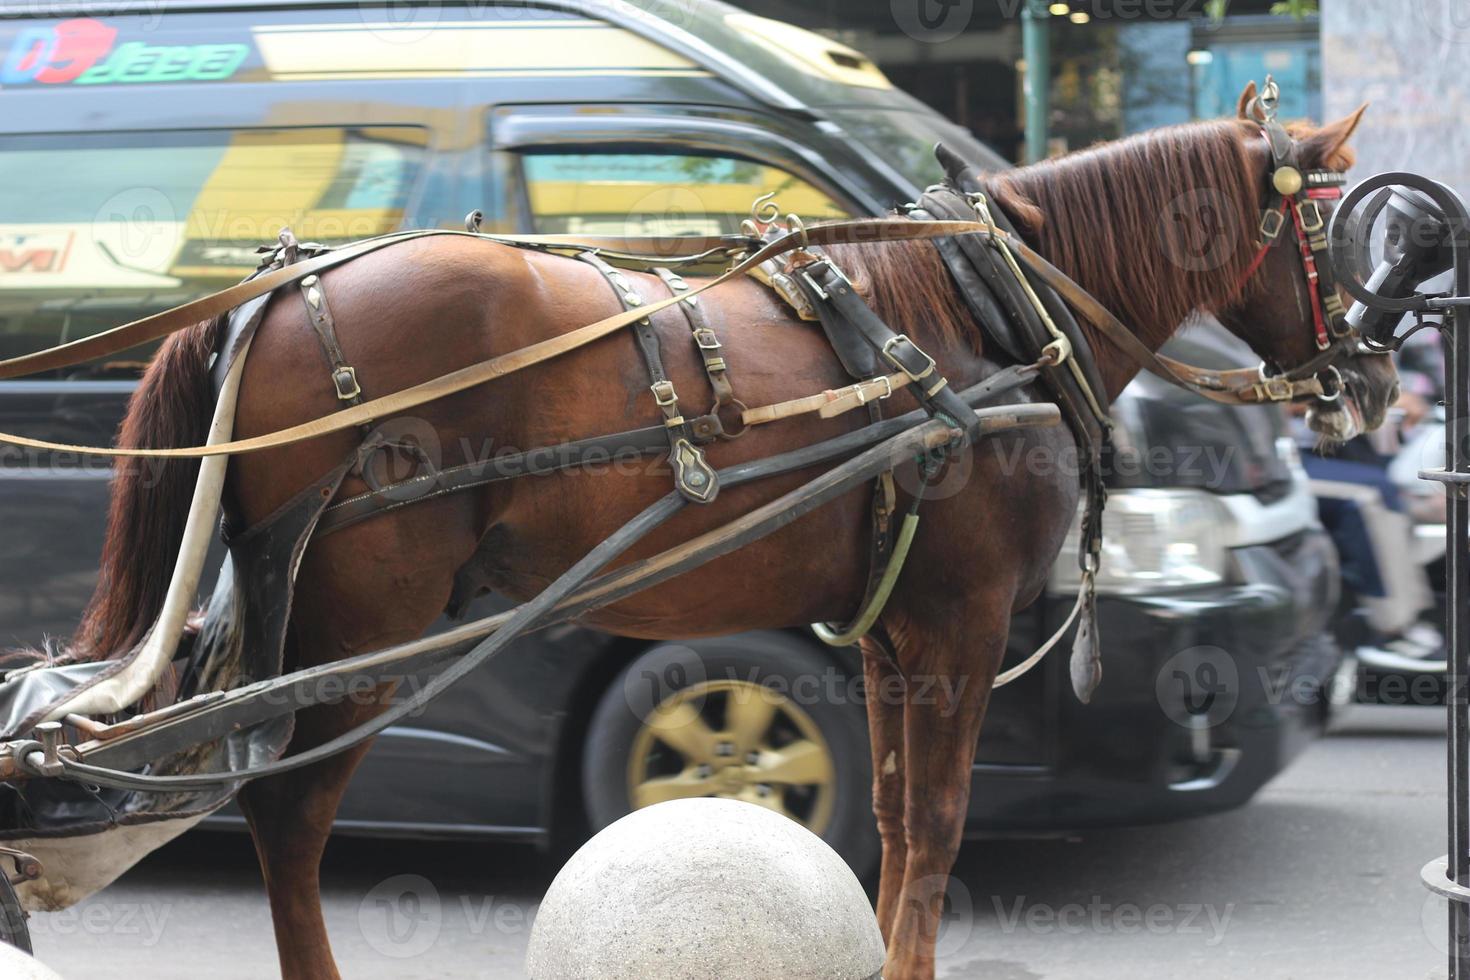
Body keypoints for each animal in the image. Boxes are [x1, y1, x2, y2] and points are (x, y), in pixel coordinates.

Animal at [69, 95, 1393, 975]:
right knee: (289, 815)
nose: (1374, 380)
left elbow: (900, 822)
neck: (998, 318)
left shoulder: (895, 632)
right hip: (363, 623)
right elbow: (941, 826)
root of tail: (267, 299)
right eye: (1334, 232)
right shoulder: (960, 625)